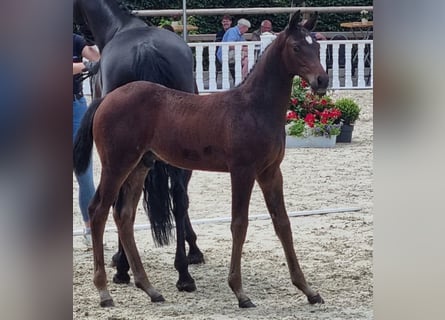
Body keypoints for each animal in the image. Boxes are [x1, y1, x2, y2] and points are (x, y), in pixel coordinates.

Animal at [73, 0, 205, 292]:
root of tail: (146, 49)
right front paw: (193, 250)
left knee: (118, 201)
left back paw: (124, 268)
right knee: (179, 197)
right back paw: (183, 274)